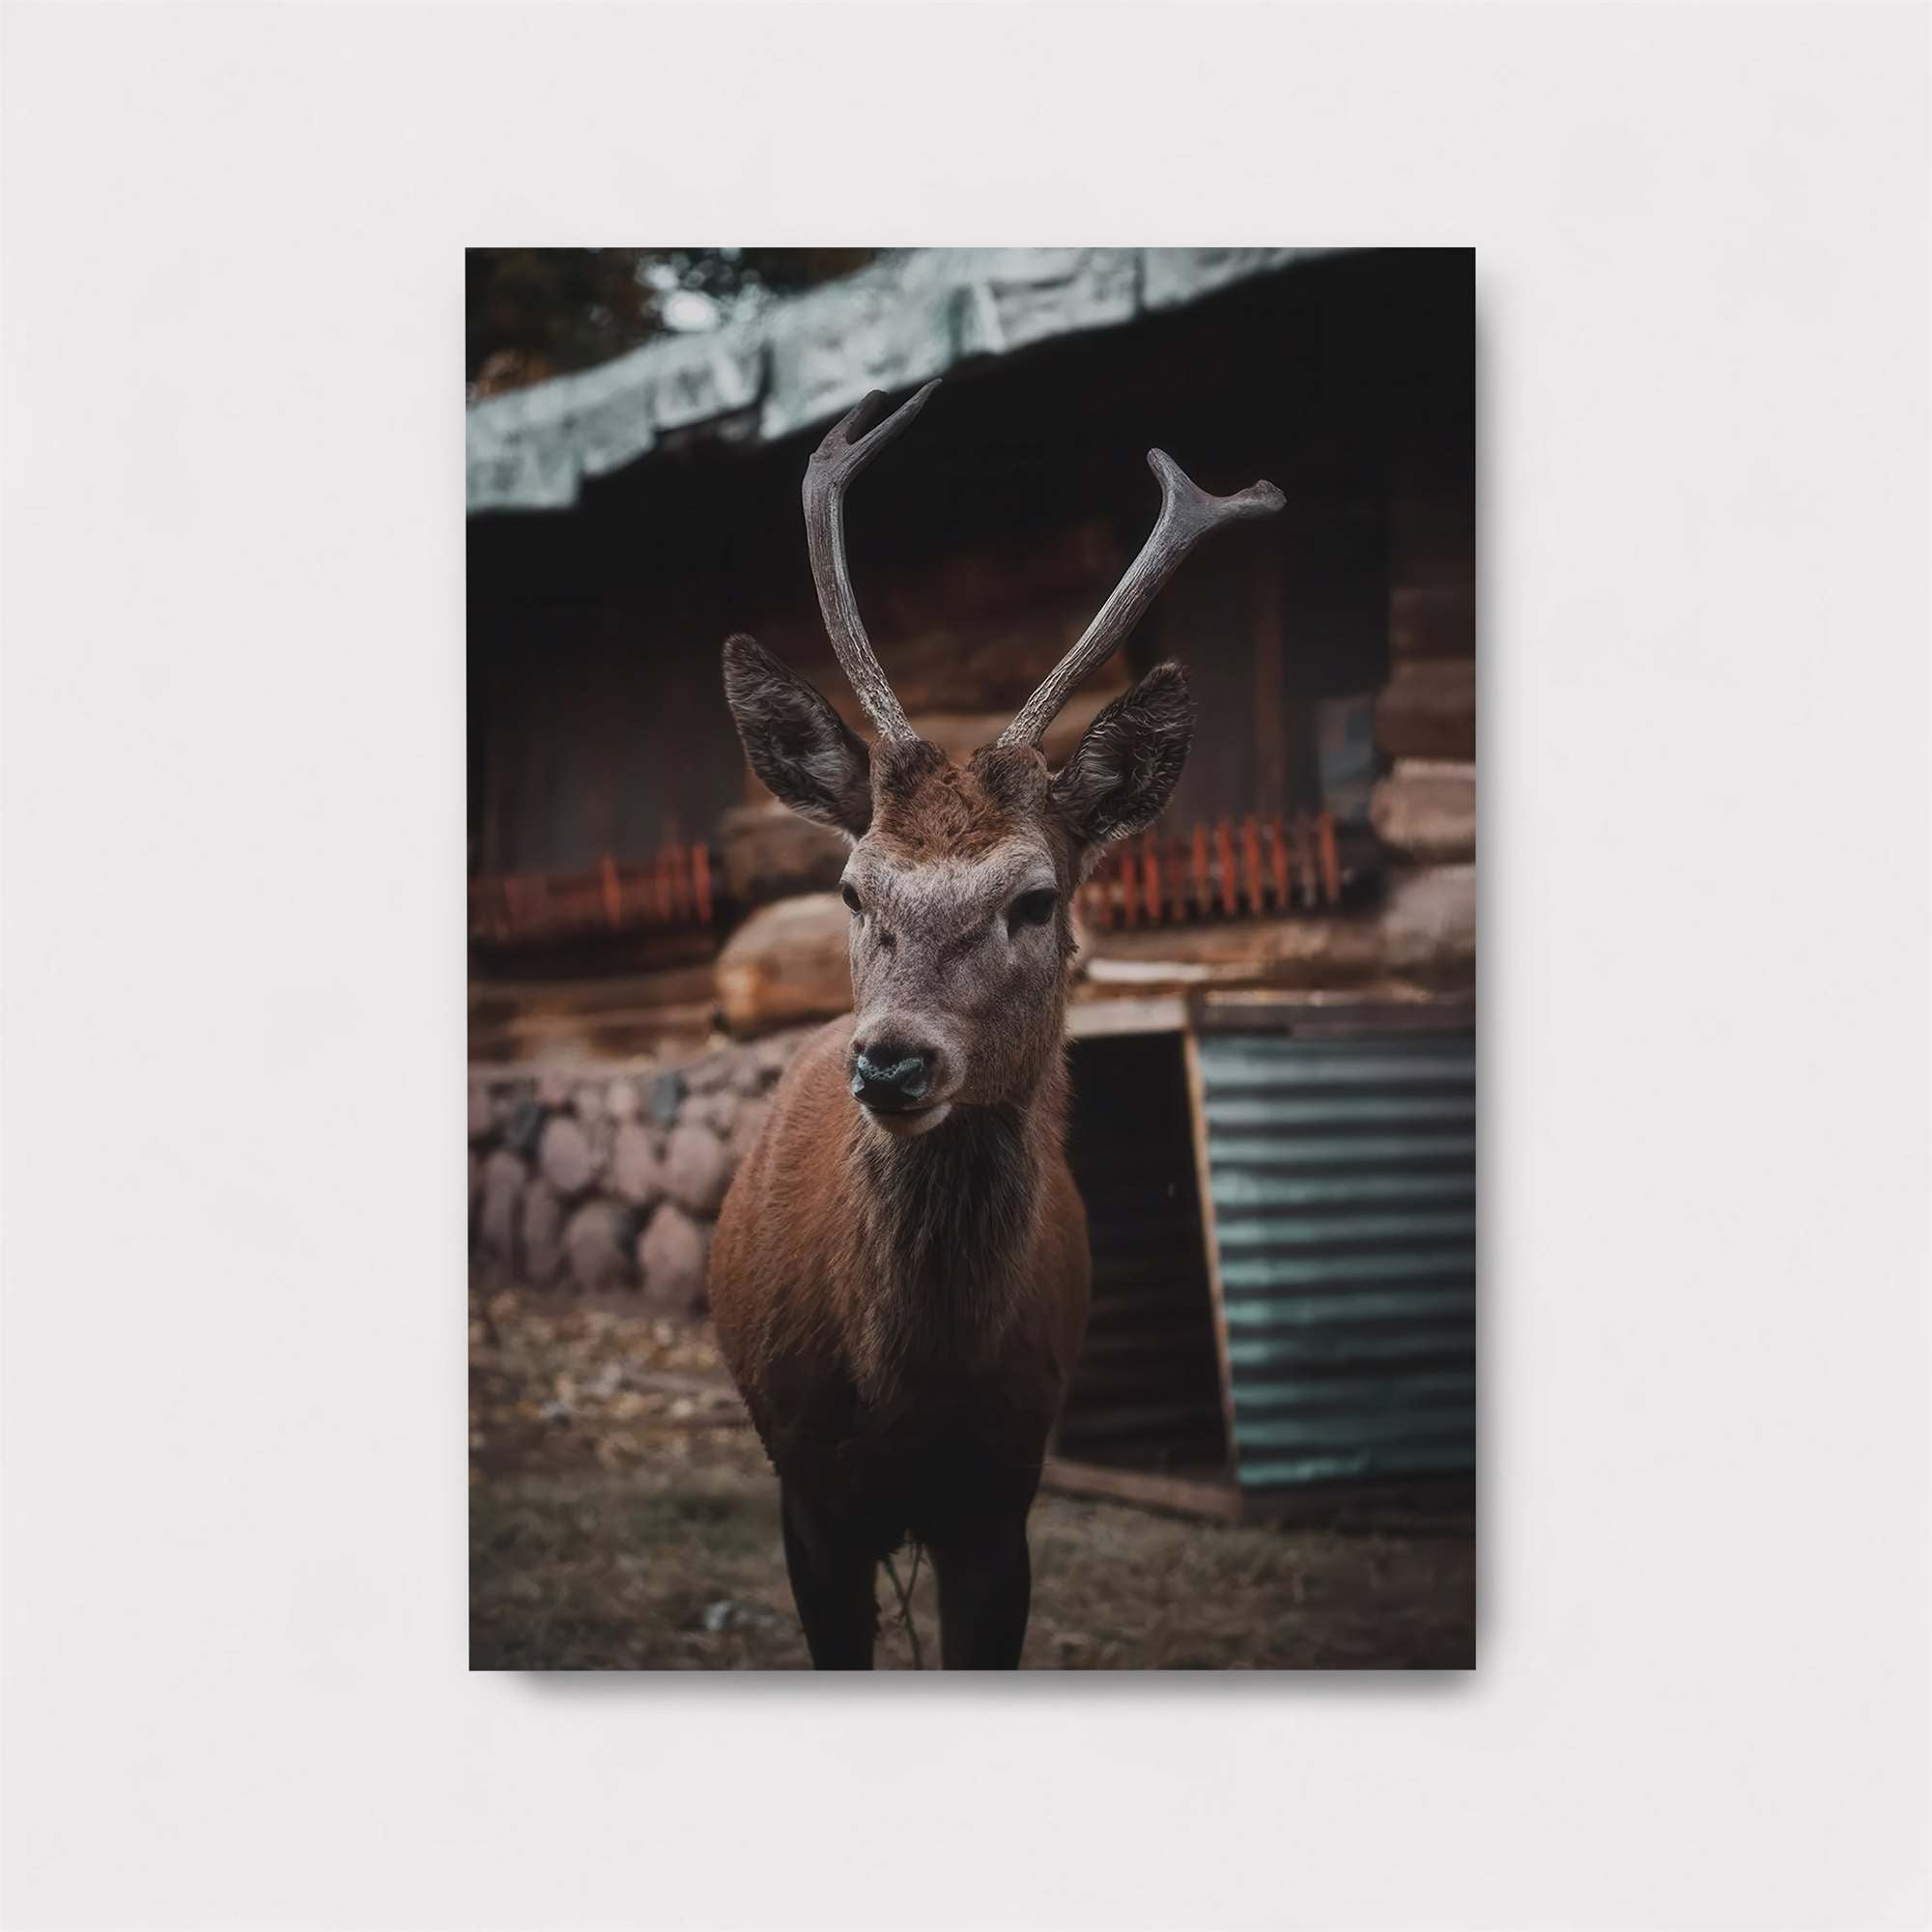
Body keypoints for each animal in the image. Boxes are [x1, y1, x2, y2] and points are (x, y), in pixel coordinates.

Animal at [709, 378, 1282, 1668]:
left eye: (1033, 896)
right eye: (851, 888)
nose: (891, 1059)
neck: (904, 1388)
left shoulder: (1003, 1493)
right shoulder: (802, 1488)